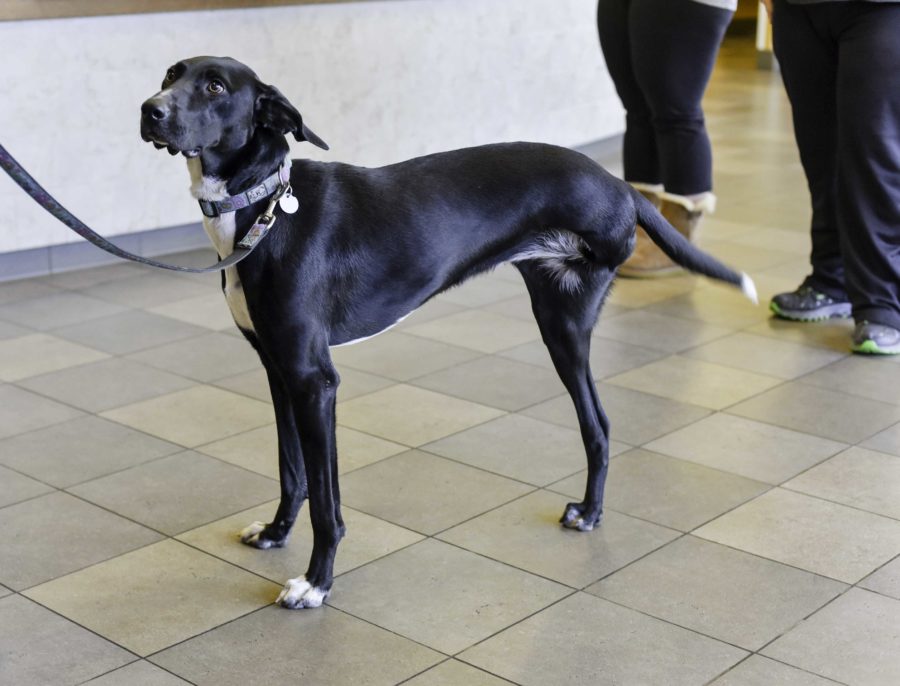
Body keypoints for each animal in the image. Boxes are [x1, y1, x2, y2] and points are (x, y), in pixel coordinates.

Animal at [141, 56, 756, 612]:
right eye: (172, 74)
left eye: (215, 86)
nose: (150, 110)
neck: (265, 206)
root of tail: (621, 187)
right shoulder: (278, 371)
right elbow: (292, 472)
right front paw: (275, 534)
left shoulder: (315, 381)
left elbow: (327, 504)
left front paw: (316, 584)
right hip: (557, 319)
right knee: (598, 426)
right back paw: (589, 510)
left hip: (564, 324)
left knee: (598, 425)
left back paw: (590, 514)